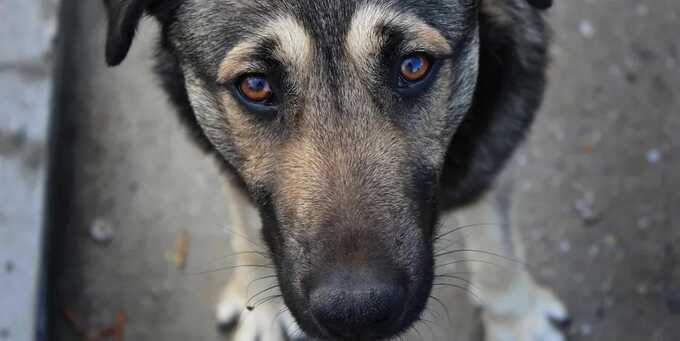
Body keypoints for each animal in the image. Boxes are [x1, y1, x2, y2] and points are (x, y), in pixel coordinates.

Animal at [102, 0, 568, 338]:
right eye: (256, 86)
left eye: (413, 65)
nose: (357, 314)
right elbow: (248, 227)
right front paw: (261, 309)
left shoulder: (492, 153)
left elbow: (499, 260)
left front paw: (519, 326)